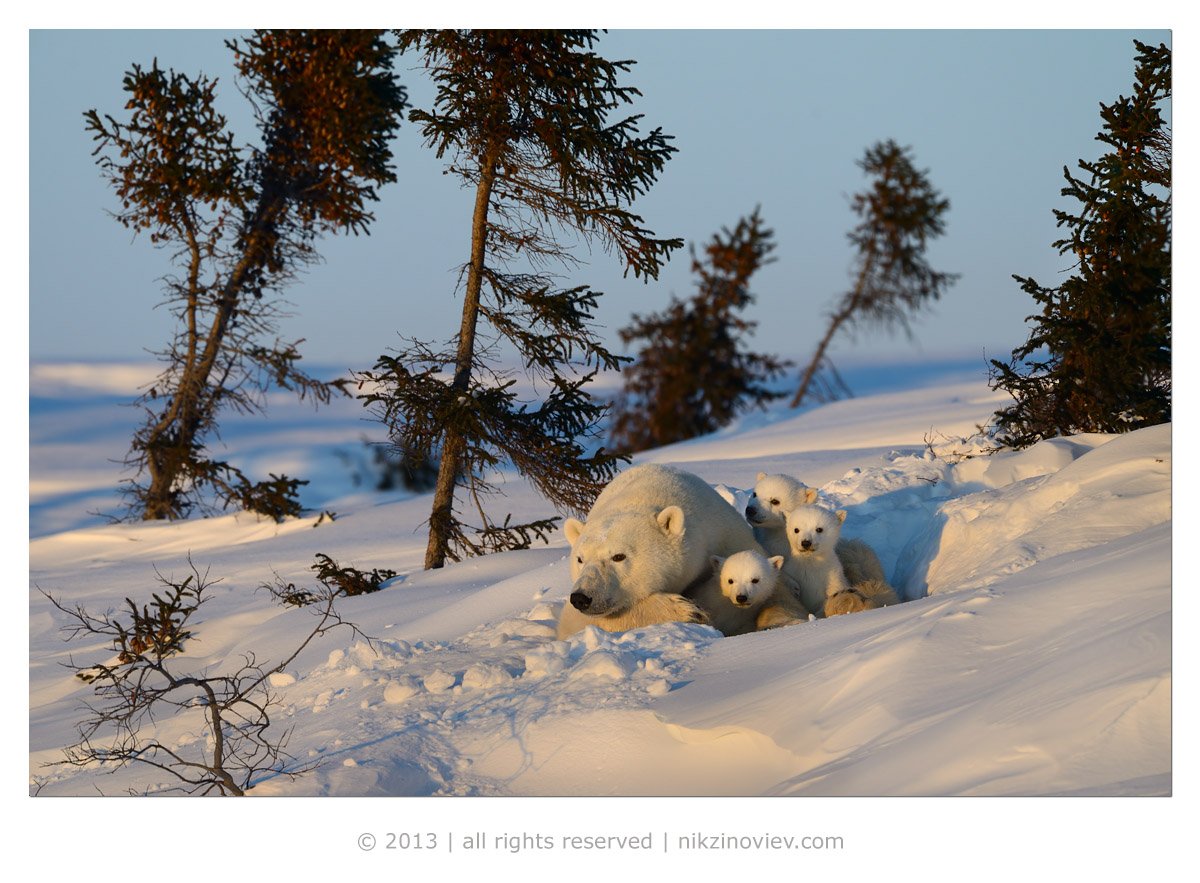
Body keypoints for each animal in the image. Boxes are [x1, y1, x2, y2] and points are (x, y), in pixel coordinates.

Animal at [554, 463, 758, 643]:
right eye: (580, 559)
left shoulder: (726, 536)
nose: (581, 597)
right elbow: (576, 621)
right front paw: (688, 610)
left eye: (618, 556)